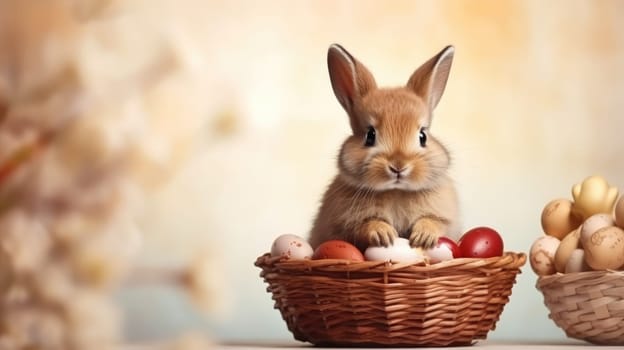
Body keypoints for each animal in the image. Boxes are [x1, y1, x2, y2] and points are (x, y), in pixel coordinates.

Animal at [310, 43, 460, 252]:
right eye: (370, 135)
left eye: (422, 136)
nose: (399, 166)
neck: (396, 191)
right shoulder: (345, 225)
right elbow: (364, 226)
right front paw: (384, 234)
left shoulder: (444, 218)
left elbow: (434, 222)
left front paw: (423, 237)